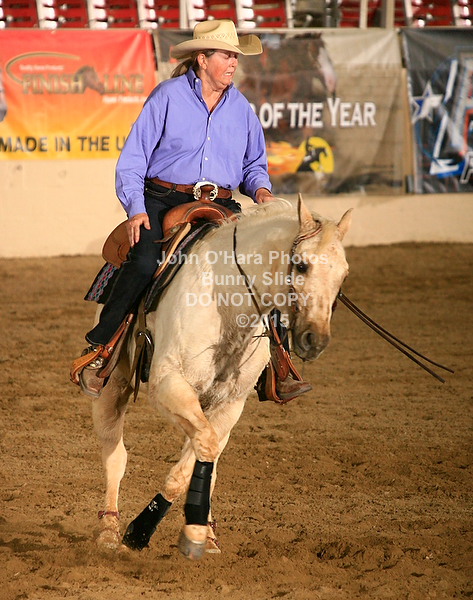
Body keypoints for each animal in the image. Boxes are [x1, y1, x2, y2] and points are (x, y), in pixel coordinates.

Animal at [91, 195, 352, 559]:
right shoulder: (167, 383)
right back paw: (108, 532)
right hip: (112, 386)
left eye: (344, 273)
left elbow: (201, 456)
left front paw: (198, 532)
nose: (315, 340)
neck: (226, 298)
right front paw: (140, 531)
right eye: (301, 266)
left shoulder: (230, 403)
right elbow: (198, 452)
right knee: (114, 454)